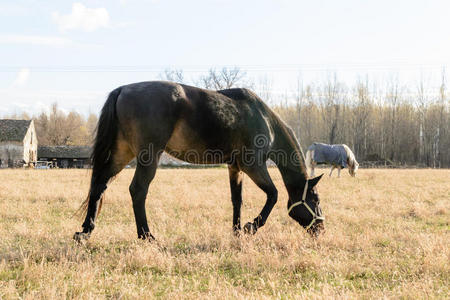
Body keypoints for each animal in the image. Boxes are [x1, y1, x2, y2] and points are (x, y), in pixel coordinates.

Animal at [75, 80, 326, 241]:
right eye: (315, 199)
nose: (321, 228)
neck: (262, 117)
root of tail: (123, 89)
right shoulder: (253, 166)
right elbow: (273, 195)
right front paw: (250, 227)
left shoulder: (235, 168)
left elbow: (237, 200)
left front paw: (237, 231)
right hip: (148, 157)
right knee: (137, 190)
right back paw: (146, 236)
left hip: (121, 154)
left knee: (99, 186)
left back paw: (86, 231)